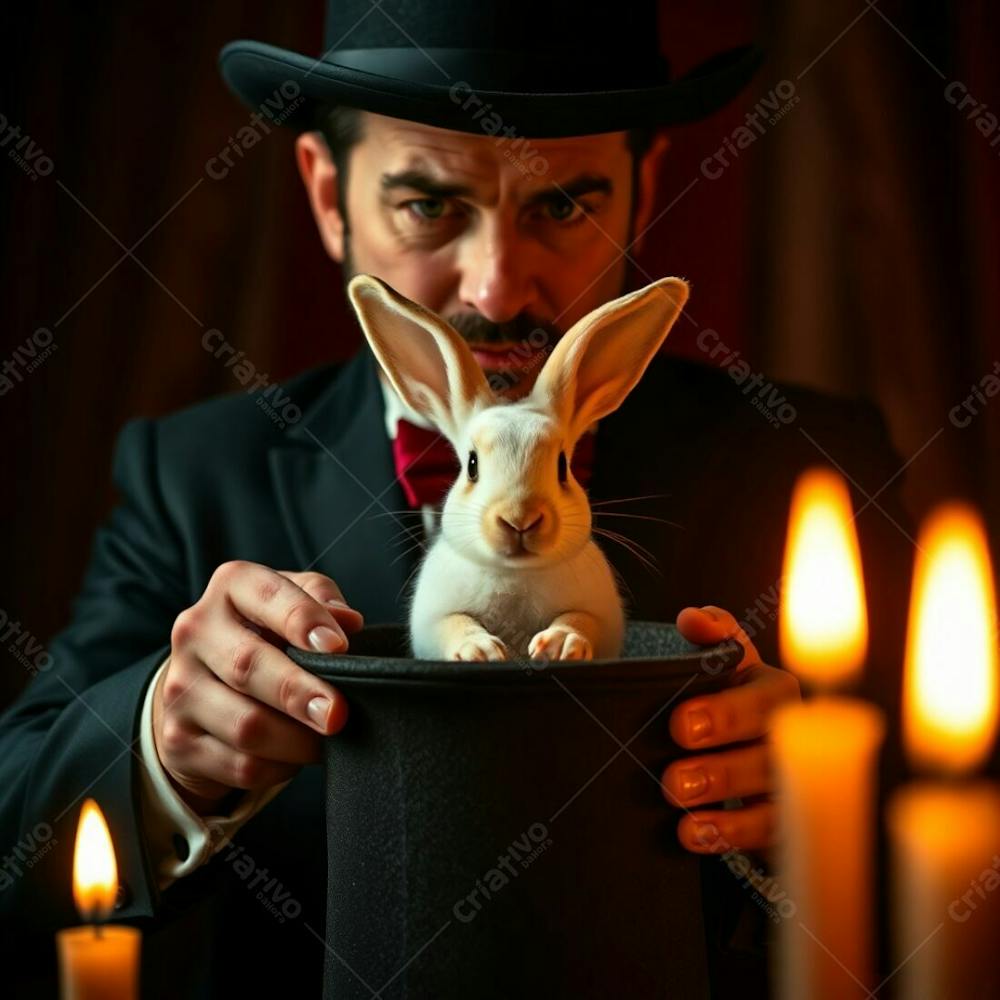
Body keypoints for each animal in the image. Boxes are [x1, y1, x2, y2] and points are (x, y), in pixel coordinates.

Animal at [348, 274, 692, 664]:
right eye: (472, 465)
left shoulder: (600, 617)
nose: (519, 519)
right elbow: (455, 624)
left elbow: (579, 619)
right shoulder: (434, 620)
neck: (515, 574)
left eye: (562, 467)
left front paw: (559, 645)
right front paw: (480, 650)